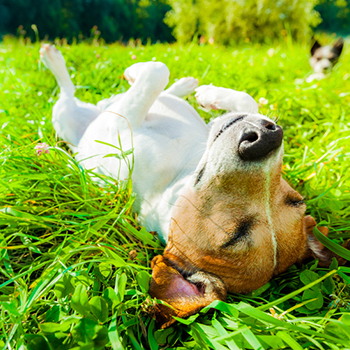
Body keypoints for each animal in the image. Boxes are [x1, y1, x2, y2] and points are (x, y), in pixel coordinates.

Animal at [40, 43, 348, 328]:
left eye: (232, 236)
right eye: (296, 199)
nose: (264, 140)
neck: (183, 171)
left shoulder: (117, 131)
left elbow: (156, 72)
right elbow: (243, 99)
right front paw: (210, 96)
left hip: (65, 118)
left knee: (67, 96)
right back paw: (184, 86)